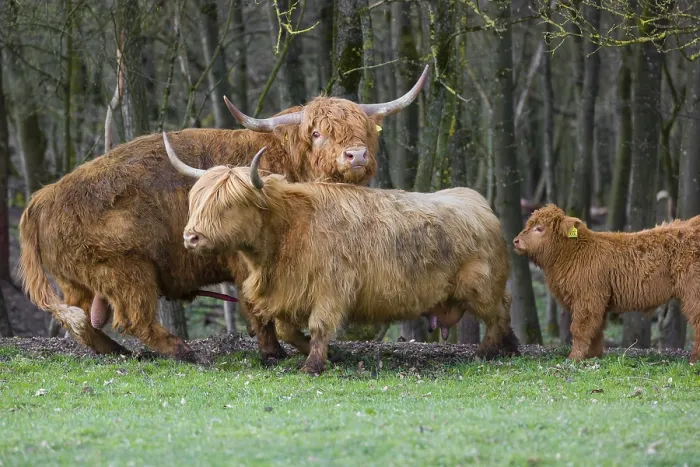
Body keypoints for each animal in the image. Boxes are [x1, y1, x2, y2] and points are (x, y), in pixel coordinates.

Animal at [17, 66, 429, 363]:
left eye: (364, 129)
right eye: (316, 133)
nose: (356, 155)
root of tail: (41, 199)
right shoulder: (249, 261)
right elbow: (264, 309)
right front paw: (275, 351)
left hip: (80, 280)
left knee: (85, 323)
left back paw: (120, 352)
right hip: (125, 269)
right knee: (133, 318)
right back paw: (183, 351)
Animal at [164, 138, 521, 375]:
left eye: (228, 204)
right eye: (197, 201)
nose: (190, 236)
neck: (286, 231)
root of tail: (476, 200)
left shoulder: (330, 289)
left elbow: (320, 326)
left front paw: (313, 365)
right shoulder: (289, 292)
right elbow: (287, 331)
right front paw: (330, 354)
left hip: (480, 286)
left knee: (499, 311)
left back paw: (487, 351)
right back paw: (510, 346)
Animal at [513, 203, 700, 363]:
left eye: (539, 228)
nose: (516, 241)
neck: (573, 253)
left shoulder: (587, 298)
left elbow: (579, 328)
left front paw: (574, 357)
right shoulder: (598, 302)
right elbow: (596, 329)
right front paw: (593, 355)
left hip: (693, 293)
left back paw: (694, 359)